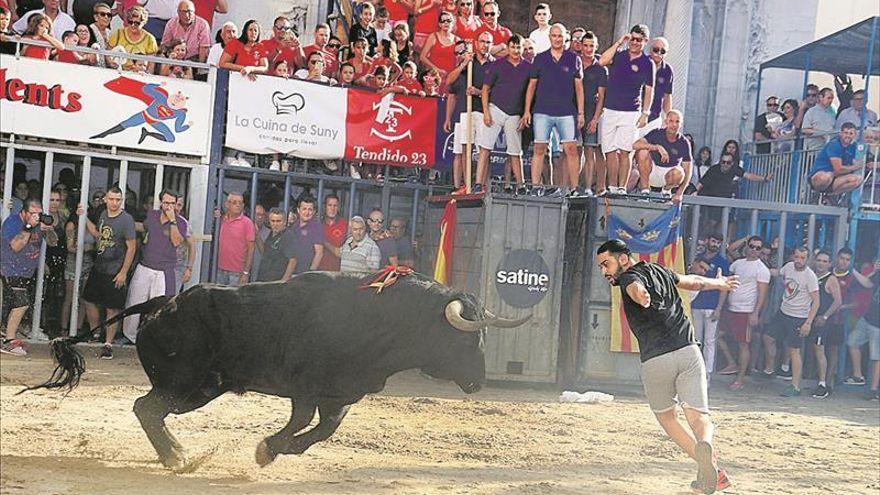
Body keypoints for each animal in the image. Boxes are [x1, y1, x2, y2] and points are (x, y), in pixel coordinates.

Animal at [22, 272, 528, 468]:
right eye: (466, 338)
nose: (479, 382)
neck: (380, 319)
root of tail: (163, 303)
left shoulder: (339, 396)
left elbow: (322, 431)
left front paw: (278, 450)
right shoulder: (306, 388)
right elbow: (302, 422)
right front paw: (267, 449)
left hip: (199, 388)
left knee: (150, 410)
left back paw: (177, 452)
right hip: (187, 385)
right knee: (146, 408)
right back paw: (177, 457)